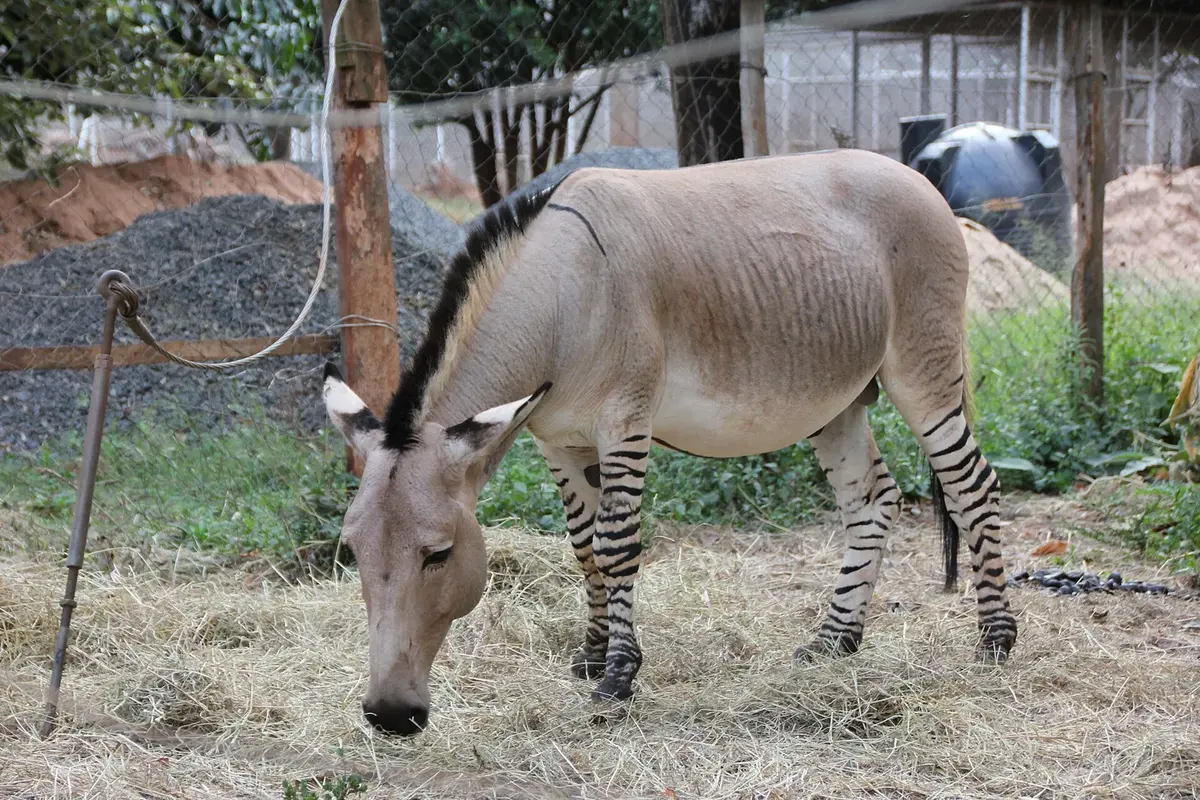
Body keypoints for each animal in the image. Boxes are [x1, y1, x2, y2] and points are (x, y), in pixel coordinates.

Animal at [320, 148, 1017, 736]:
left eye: (438, 555)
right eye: (352, 553)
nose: (389, 717)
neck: (560, 300)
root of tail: (913, 174)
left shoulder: (624, 422)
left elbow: (616, 545)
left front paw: (618, 677)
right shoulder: (559, 441)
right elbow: (583, 547)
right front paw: (592, 653)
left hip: (923, 372)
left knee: (972, 488)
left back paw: (995, 640)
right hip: (839, 398)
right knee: (873, 499)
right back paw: (834, 641)